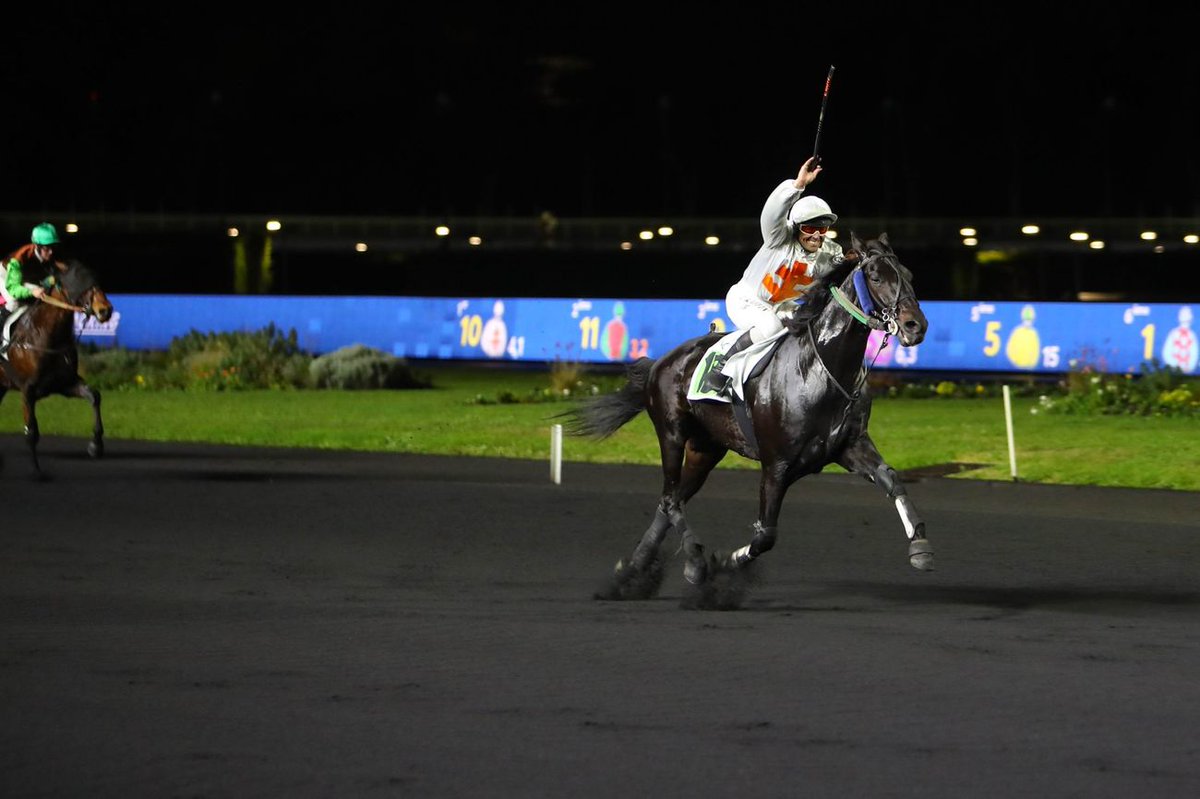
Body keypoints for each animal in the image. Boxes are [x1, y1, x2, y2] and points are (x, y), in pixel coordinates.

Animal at [0, 257, 114, 475]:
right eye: (79, 281)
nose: (105, 310)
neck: (45, 335)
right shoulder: (27, 390)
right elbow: (32, 432)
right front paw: (36, 470)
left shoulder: (65, 383)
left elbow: (94, 396)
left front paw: (96, 445)